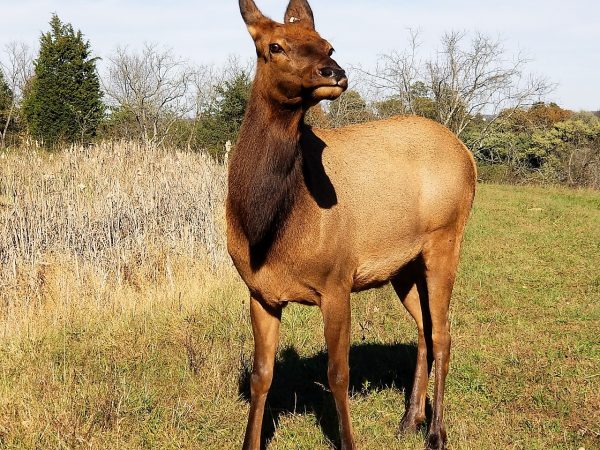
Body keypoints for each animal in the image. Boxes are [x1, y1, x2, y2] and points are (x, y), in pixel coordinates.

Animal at [227, 1, 476, 448]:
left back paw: (436, 431)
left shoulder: (337, 280)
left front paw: (348, 439)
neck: (266, 231)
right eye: (274, 46)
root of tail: (469, 156)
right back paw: (409, 419)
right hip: (404, 265)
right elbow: (261, 376)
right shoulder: (259, 291)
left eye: (328, 44)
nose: (334, 71)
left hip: (447, 237)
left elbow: (338, 374)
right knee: (425, 328)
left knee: (444, 332)